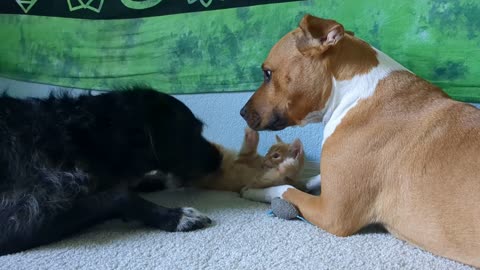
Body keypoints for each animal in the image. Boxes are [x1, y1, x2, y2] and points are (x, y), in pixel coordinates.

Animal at [240, 13, 480, 266]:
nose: (241, 112)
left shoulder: (331, 213)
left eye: (267, 73)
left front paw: (254, 190)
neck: (351, 94)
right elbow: (310, 179)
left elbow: (285, 188)